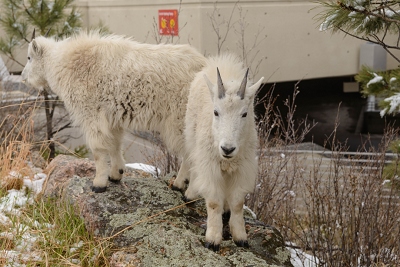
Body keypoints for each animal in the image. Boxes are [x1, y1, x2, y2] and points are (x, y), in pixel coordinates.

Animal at [21, 31, 206, 193]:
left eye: (29, 57)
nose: (23, 77)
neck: (63, 63)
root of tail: (205, 67)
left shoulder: (91, 114)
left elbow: (98, 150)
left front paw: (98, 184)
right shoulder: (113, 118)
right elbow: (115, 145)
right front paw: (116, 175)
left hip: (180, 119)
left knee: (193, 153)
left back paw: (182, 186)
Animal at [173, 55, 262, 253]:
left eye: (244, 114)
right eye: (216, 112)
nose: (227, 149)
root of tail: (220, 62)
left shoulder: (243, 167)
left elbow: (237, 203)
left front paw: (240, 237)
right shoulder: (210, 164)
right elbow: (213, 202)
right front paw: (213, 240)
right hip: (192, 133)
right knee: (190, 159)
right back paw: (187, 191)